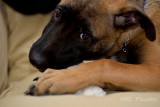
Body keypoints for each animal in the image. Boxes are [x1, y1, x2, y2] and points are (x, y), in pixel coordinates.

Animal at [26, 0, 160, 95]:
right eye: (58, 12)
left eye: (85, 35)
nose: (34, 59)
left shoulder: (154, 71)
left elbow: (106, 65)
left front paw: (59, 78)